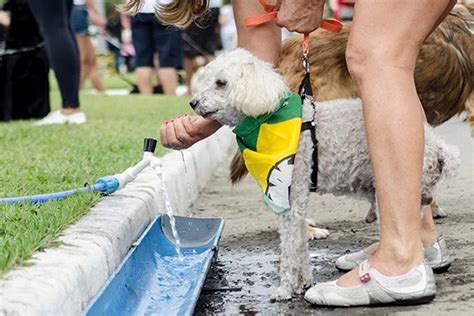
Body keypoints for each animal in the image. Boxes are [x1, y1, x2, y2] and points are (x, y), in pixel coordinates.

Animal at [188, 48, 460, 302]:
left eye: (221, 82)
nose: (192, 103)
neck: (271, 120)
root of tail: (438, 147)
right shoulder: (297, 201)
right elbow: (299, 243)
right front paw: (303, 282)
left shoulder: (290, 192)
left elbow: (289, 247)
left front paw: (285, 289)